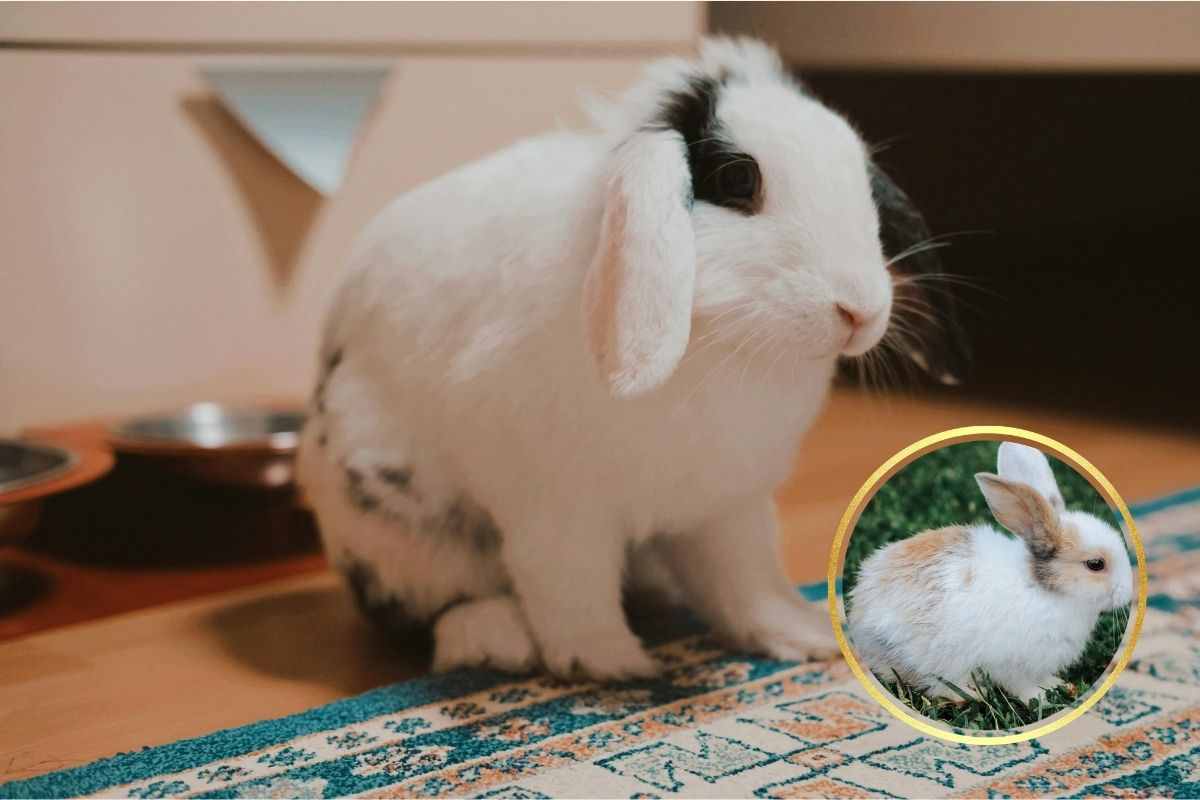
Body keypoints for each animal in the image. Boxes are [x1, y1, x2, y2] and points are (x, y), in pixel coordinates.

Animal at [296, 37, 959, 680]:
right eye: (738, 178)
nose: (860, 310)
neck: (720, 345)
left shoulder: (727, 509)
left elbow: (745, 583)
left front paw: (805, 637)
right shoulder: (557, 507)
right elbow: (568, 586)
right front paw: (613, 665)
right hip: (400, 532)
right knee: (441, 604)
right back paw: (495, 642)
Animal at [847, 442, 1134, 704]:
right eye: (1095, 564)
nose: (1128, 593)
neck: (1044, 588)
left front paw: (1056, 685)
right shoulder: (1011, 663)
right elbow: (1020, 685)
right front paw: (1039, 698)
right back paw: (971, 694)